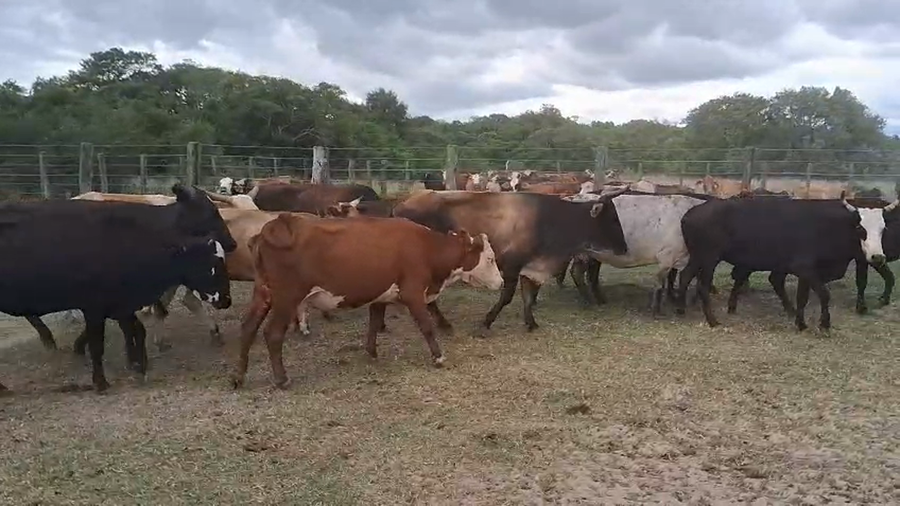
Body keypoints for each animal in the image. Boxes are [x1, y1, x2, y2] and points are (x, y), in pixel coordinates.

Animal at [0, 196, 233, 392]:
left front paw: (138, 365)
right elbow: (98, 345)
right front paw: (101, 381)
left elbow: (137, 330)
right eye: (212, 265)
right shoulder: (94, 307)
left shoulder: (122, 304)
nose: (226, 300)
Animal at [231, 214, 504, 389]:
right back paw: (282, 379)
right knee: (273, 334)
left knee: (247, 328)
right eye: (490, 259)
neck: (426, 247)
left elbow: (374, 323)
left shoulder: (380, 295)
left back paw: (238, 377)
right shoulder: (413, 293)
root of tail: (275, 225)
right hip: (287, 298)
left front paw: (371, 352)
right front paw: (438, 357)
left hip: (263, 293)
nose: (501, 282)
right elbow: (426, 326)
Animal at [392, 189, 628, 334]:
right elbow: (507, 297)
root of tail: (401, 205)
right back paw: (443, 324)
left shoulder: (530, 267)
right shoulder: (511, 266)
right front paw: (487, 321)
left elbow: (528, 297)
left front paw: (531, 323)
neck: (550, 220)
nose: (625, 248)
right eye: (612, 219)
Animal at [674, 192, 896, 331]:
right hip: (709, 258)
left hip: (698, 257)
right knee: (702, 286)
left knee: (684, 276)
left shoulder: (806, 273)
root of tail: (689, 214)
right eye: (860, 228)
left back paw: (681, 309)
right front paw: (824, 324)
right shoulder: (804, 269)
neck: (826, 226)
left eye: (883, 229)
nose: (877, 257)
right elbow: (824, 294)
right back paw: (712, 320)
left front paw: (801, 323)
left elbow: (802, 297)